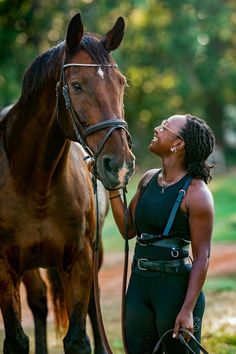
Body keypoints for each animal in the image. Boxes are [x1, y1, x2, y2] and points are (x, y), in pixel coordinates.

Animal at [0, 13, 134, 354]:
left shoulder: (80, 259)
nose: (120, 165)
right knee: (38, 304)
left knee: (91, 307)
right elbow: (17, 339)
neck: (35, 181)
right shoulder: (4, 266)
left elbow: (77, 338)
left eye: (121, 83)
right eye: (76, 85)